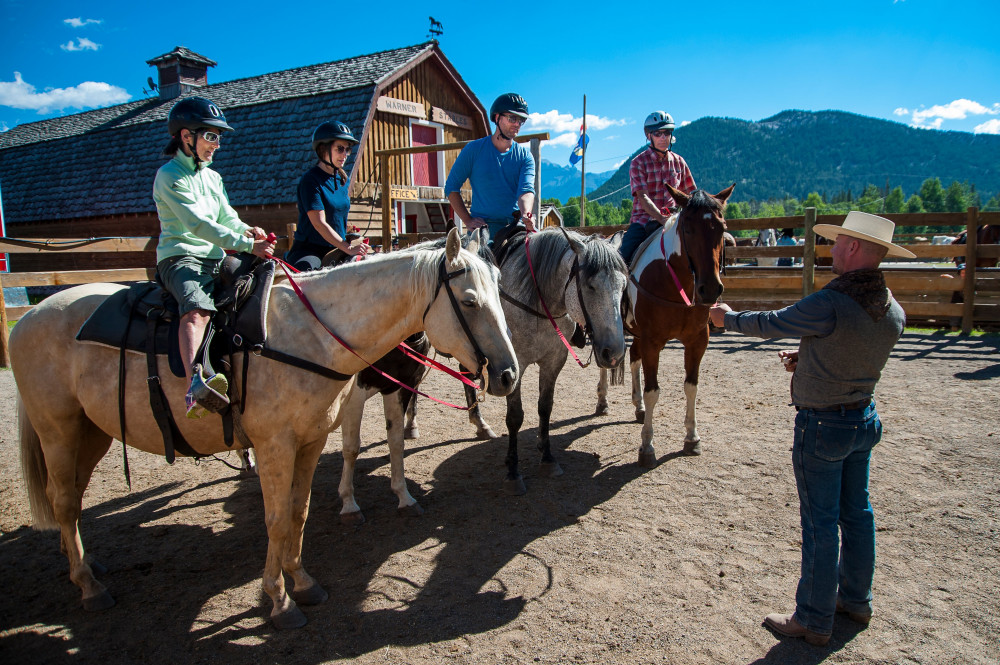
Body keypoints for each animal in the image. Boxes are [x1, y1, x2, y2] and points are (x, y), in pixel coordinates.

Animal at [11, 231, 520, 632]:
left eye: (500, 295)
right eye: (470, 302)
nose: (508, 375)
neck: (310, 335)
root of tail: (27, 318)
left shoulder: (312, 439)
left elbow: (299, 512)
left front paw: (303, 583)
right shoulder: (277, 445)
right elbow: (277, 518)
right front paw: (279, 601)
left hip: (90, 431)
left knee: (73, 499)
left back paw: (84, 561)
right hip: (57, 429)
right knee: (62, 501)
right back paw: (89, 585)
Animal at [596, 184, 732, 464]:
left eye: (721, 228)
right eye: (688, 228)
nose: (710, 290)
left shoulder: (697, 341)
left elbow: (691, 387)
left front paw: (692, 438)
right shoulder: (653, 342)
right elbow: (653, 391)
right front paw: (647, 446)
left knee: (633, 358)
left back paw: (637, 407)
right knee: (605, 362)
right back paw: (603, 402)